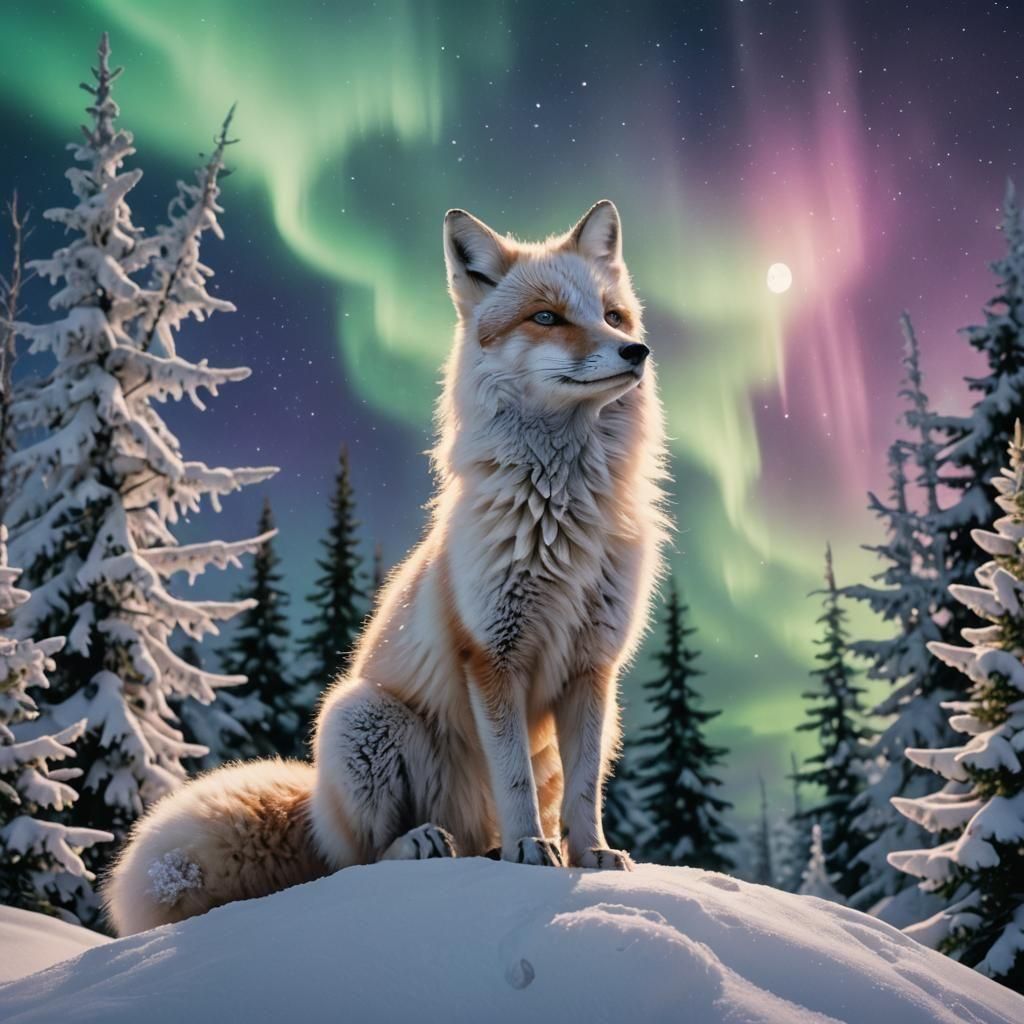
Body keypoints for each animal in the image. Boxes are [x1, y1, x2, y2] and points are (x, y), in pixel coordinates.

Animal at [103, 199, 669, 936]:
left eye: (613, 315)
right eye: (547, 318)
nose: (637, 352)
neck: (561, 515)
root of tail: (317, 806)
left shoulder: (593, 669)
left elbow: (584, 790)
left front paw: (589, 854)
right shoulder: (493, 657)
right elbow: (512, 778)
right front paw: (527, 849)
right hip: (361, 716)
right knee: (361, 861)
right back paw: (435, 843)